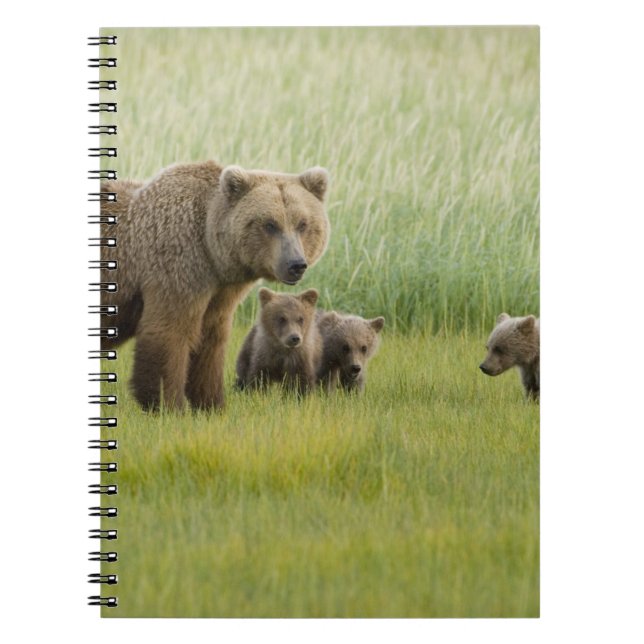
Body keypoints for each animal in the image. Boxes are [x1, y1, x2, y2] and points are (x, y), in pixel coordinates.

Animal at [100, 160, 330, 411]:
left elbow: (210, 341)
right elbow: (170, 332)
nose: (295, 265)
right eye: (270, 224)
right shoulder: (176, 267)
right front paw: (168, 405)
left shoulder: (220, 291)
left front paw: (211, 403)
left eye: (303, 224)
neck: (211, 250)